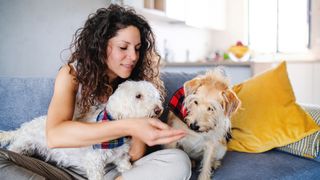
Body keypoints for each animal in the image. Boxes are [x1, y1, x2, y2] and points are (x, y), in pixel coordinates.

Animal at [0, 80, 164, 180]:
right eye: (138, 96)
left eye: (155, 95)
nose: (158, 109)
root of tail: (24, 127)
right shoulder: (94, 163)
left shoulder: (121, 156)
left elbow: (125, 166)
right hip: (22, 145)